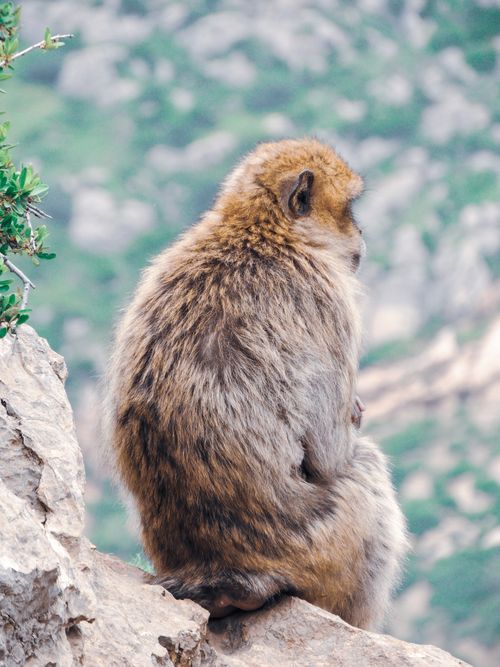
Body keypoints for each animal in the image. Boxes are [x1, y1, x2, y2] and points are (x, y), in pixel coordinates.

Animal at [104, 138, 408, 629]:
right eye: (350, 208)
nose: (362, 235)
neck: (260, 230)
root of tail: (223, 572)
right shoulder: (330, 301)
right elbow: (330, 453)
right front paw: (351, 418)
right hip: (325, 546)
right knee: (366, 469)